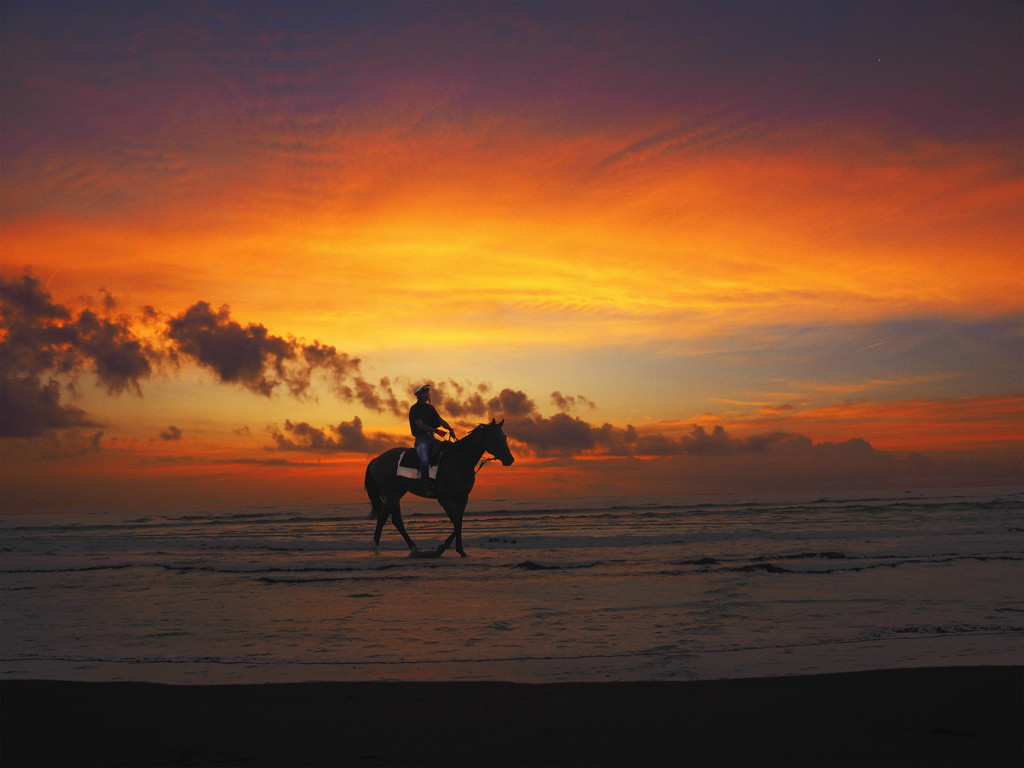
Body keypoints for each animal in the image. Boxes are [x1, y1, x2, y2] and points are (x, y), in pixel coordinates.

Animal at [364, 421, 516, 561]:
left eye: (504, 436)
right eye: (496, 437)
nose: (510, 459)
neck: (458, 461)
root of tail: (377, 459)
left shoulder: (462, 498)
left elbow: (459, 522)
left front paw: (459, 550)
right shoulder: (445, 499)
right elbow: (457, 522)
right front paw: (442, 548)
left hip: (396, 494)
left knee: (387, 518)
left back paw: (390, 549)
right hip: (392, 495)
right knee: (394, 519)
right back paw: (405, 549)